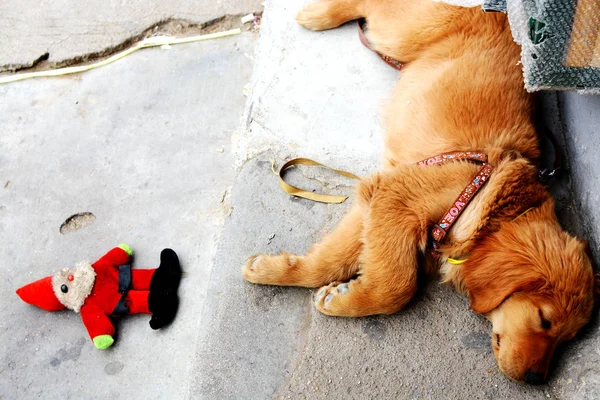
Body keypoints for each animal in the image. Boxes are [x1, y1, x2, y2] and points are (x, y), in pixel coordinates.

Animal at [241, 0, 596, 382]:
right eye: (544, 320)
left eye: (566, 338)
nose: (535, 379)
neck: (494, 210)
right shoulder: (400, 198)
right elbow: (398, 285)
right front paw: (354, 299)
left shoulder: (378, 198)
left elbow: (330, 260)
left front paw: (280, 271)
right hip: (402, 32)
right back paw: (317, 15)